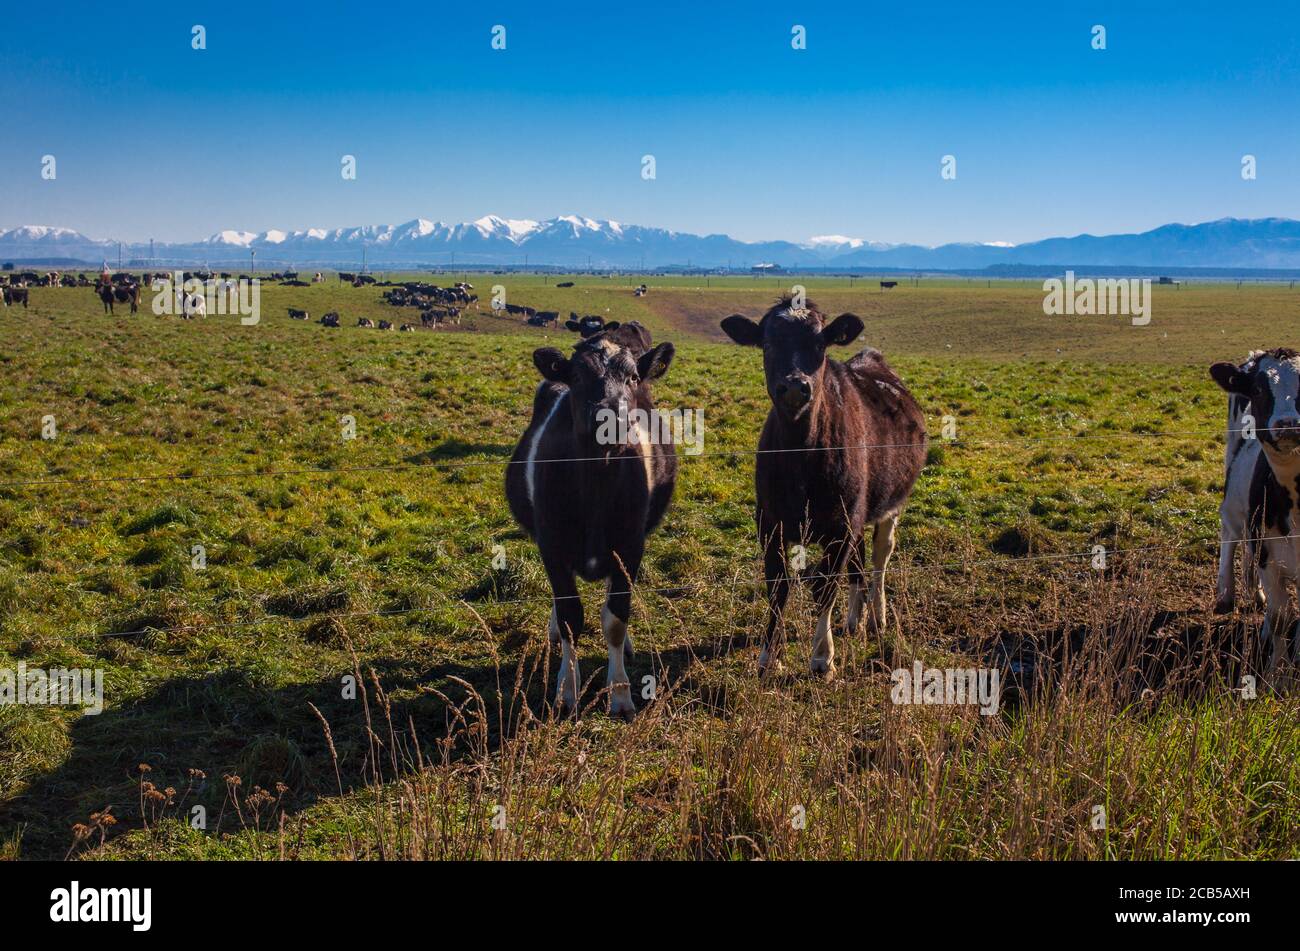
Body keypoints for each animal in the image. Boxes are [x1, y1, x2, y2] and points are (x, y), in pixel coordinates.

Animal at [501, 324, 676, 711]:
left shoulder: (630, 545)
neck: (597, 479)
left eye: (633, 376)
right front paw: (567, 690)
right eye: (578, 375)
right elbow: (570, 617)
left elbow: (615, 617)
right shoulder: (552, 545)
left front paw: (621, 693)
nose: (611, 416)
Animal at [722, 294, 925, 675]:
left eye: (820, 344)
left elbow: (824, 586)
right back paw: (854, 619)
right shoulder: (769, 521)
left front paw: (821, 656)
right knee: (858, 562)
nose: (794, 385)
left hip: (889, 505)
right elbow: (778, 586)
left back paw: (876, 617)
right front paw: (769, 657)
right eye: (767, 344)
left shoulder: (842, 523)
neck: (800, 452)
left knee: (880, 556)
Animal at [1206, 348, 1300, 675]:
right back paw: (1226, 594)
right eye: (1259, 389)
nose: (1288, 424)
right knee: (1230, 533)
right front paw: (1277, 674)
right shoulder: (1268, 558)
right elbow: (1282, 618)